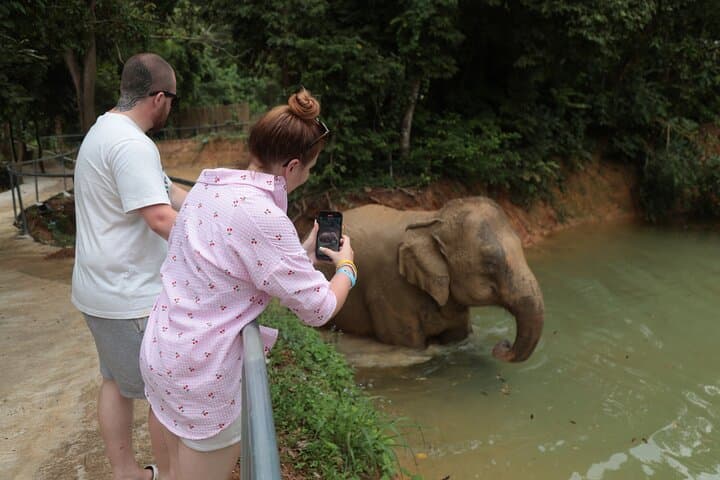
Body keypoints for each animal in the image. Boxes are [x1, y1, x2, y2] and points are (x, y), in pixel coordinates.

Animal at [323, 197, 544, 363]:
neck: (433, 220)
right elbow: (411, 346)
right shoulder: (388, 289)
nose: (502, 345)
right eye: (490, 263)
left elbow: (458, 336)